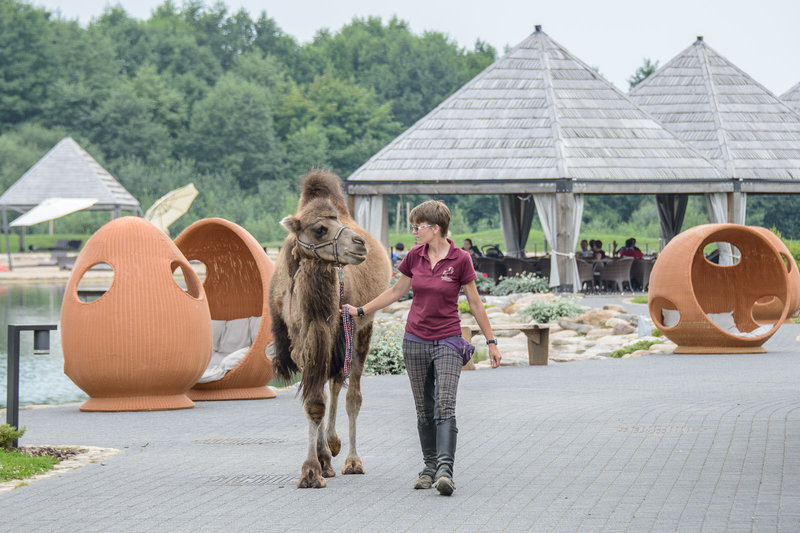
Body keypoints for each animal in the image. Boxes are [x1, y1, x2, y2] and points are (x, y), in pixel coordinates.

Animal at [270, 169, 392, 486]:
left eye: (337, 221)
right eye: (320, 228)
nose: (360, 244)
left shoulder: (336, 331)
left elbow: (325, 396)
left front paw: (314, 467)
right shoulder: (303, 339)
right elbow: (315, 399)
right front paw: (318, 465)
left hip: (360, 328)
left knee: (351, 393)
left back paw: (351, 459)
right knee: (334, 383)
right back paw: (332, 448)